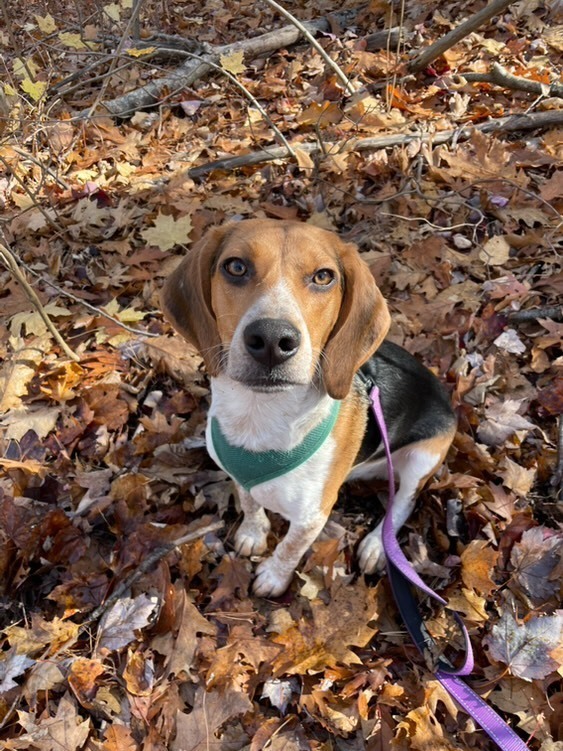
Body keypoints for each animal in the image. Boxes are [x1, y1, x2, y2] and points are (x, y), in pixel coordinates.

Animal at [160, 219, 458, 600]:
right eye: (236, 267)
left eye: (323, 276)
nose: (272, 340)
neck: (260, 415)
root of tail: (443, 391)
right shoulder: (239, 476)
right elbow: (249, 501)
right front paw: (253, 533)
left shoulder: (311, 516)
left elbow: (291, 546)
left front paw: (274, 576)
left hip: (424, 455)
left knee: (404, 500)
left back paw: (378, 545)